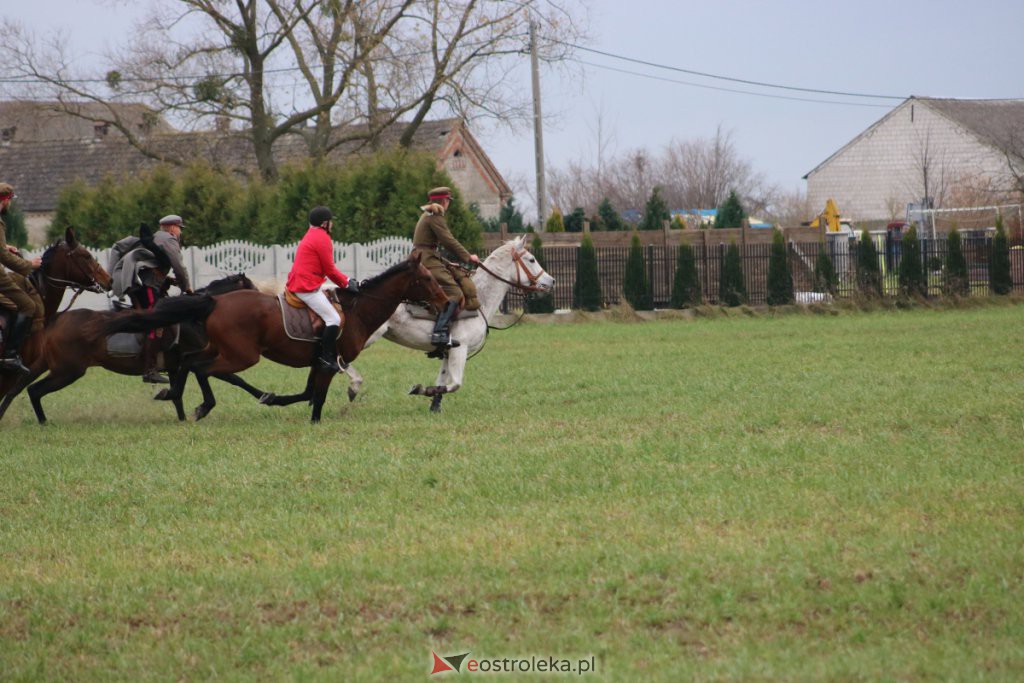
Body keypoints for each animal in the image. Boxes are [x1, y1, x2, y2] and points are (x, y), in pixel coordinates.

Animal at [12, 270, 258, 423]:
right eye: (252, 290)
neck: (194, 315)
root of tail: (56, 321)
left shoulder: (177, 366)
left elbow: (178, 394)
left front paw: (181, 416)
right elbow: (235, 379)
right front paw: (264, 397)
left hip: (53, 366)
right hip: (68, 371)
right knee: (35, 390)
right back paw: (44, 422)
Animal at [102, 250, 448, 421]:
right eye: (428, 278)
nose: (445, 301)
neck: (358, 310)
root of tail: (215, 301)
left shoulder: (318, 363)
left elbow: (307, 394)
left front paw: (276, 400)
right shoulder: (328, 364)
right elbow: (317, 397)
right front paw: (313, 420)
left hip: (220, 350)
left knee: (188, 362)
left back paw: (173, 394)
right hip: (242, 356)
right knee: (202, 369)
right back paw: (203, 405)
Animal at [344, 235, 552, 411]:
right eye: (531, 259)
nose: (552, 281)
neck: (480, 299)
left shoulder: (448, 351)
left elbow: (442, 381)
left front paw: (434, 405)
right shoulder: (460, 350)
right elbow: (455, 384)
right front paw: (421, 389)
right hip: (365, 337)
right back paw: (354, 386)